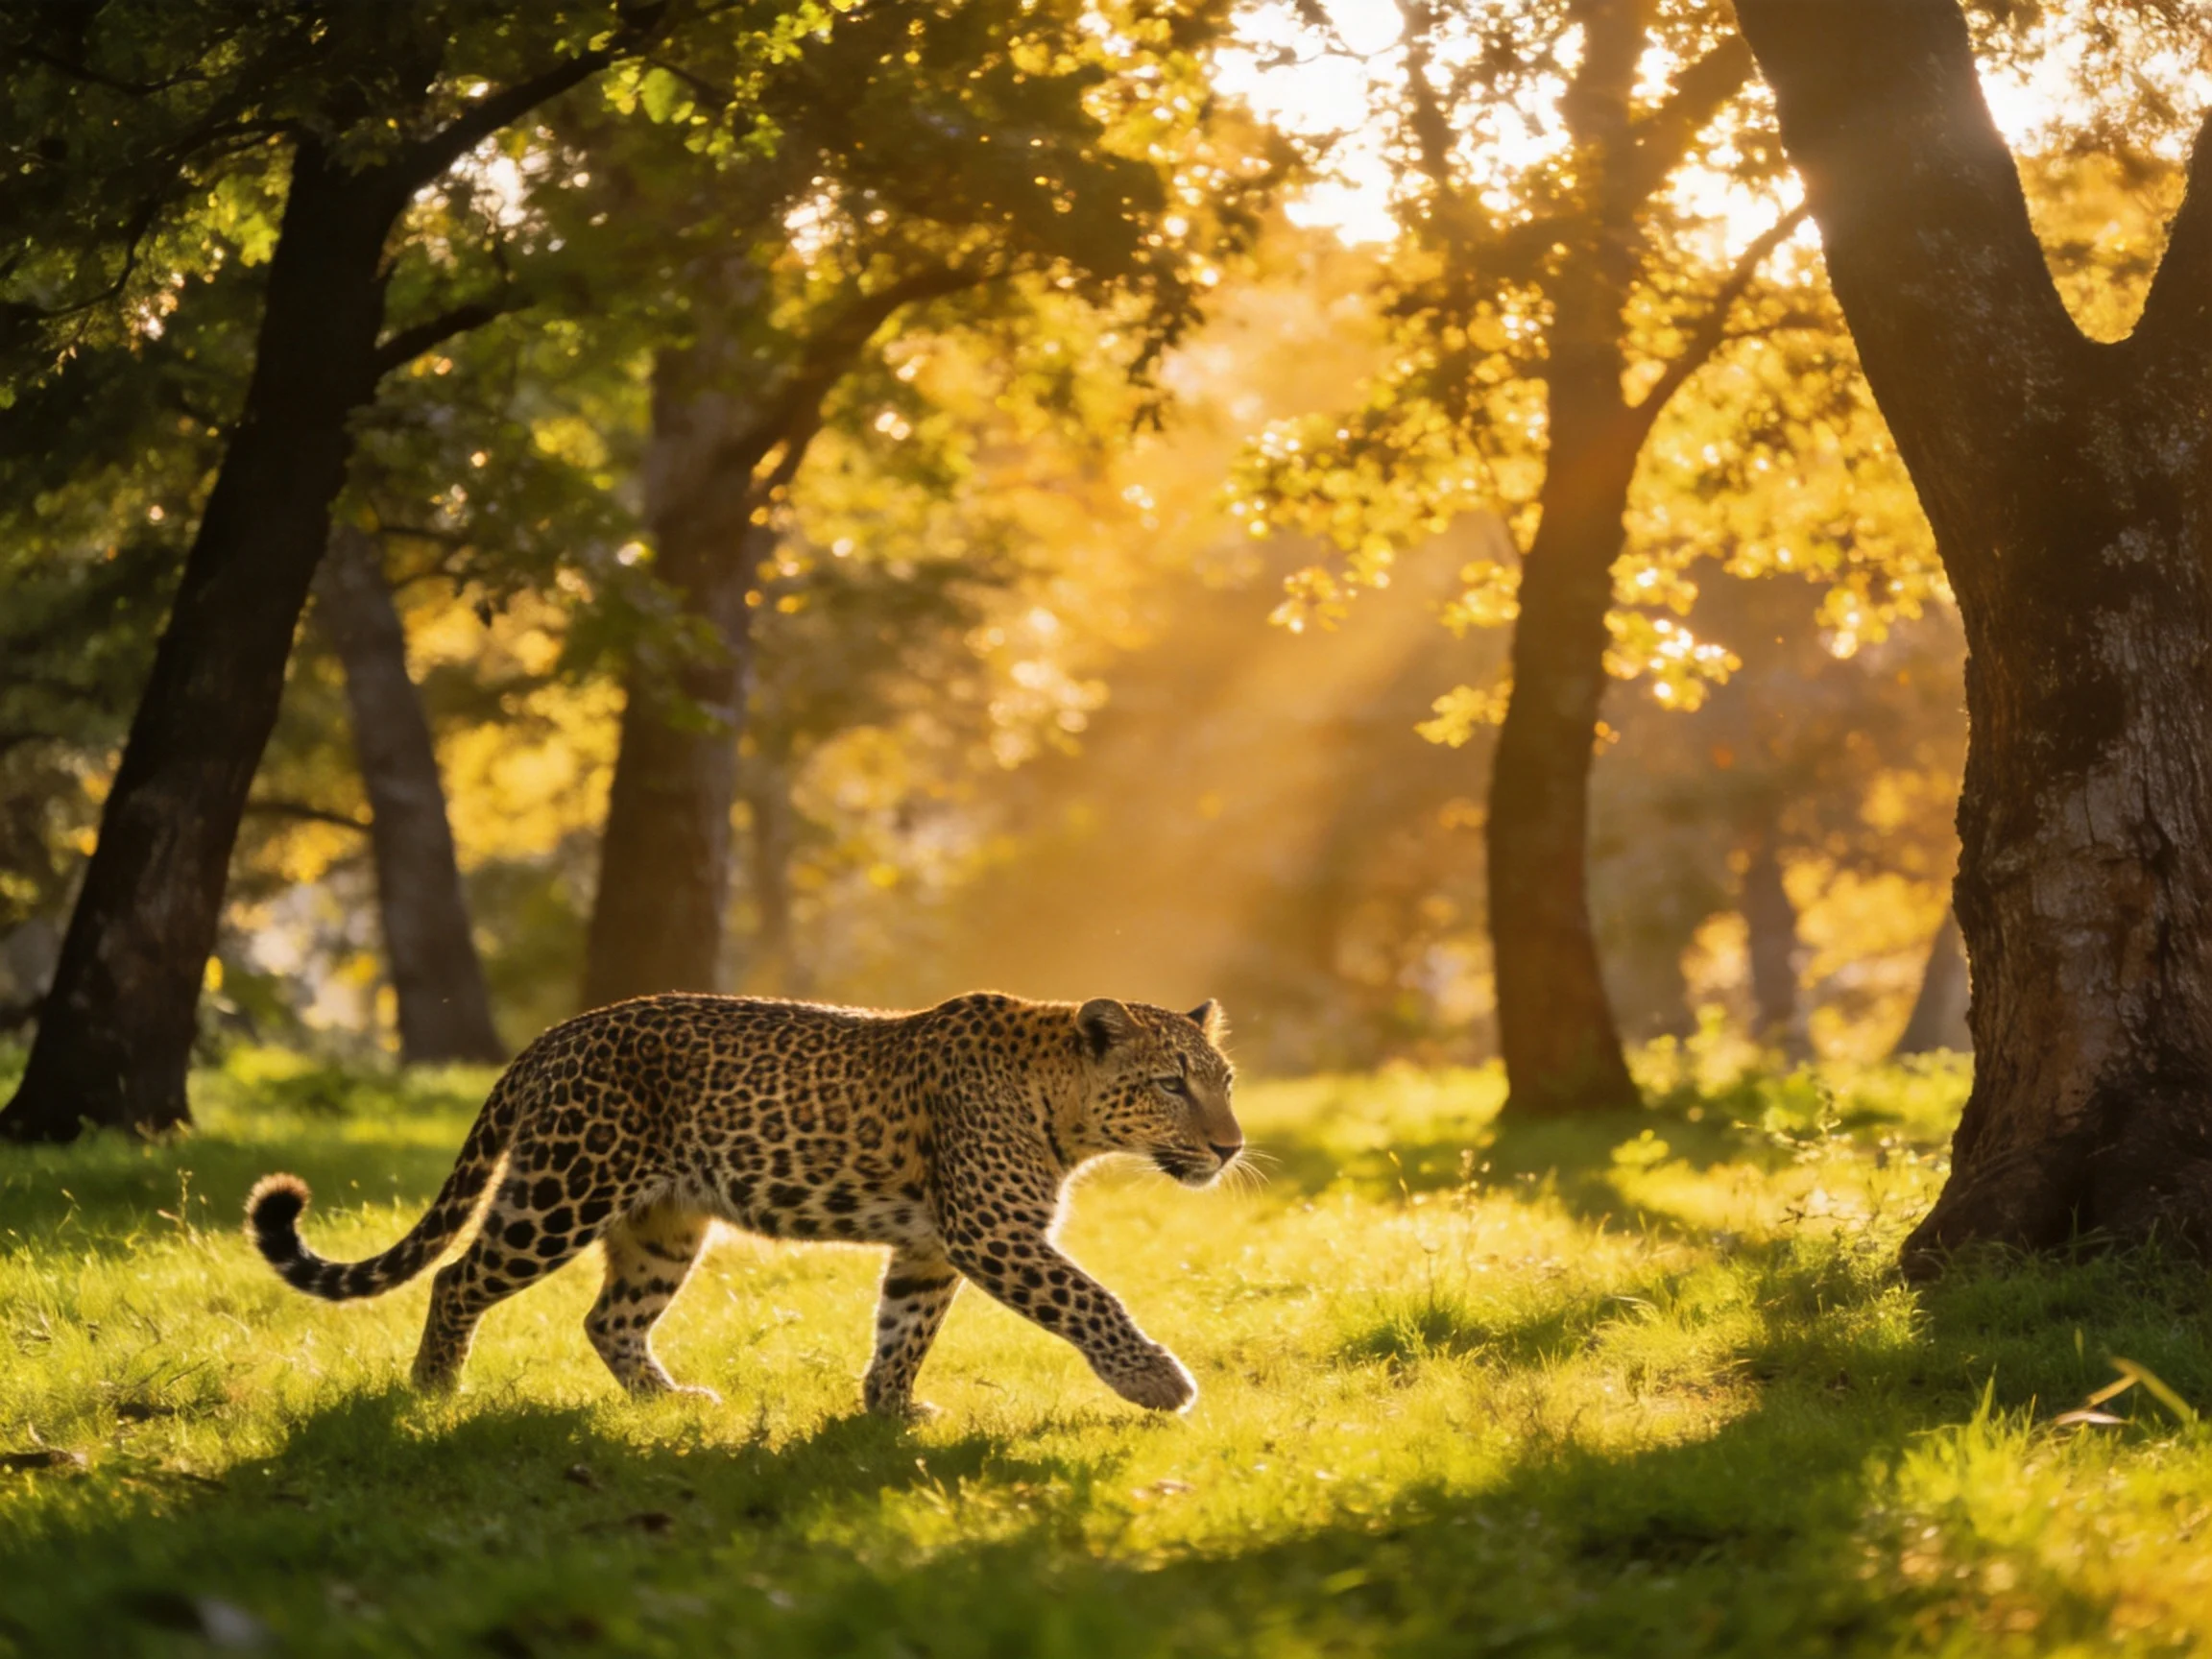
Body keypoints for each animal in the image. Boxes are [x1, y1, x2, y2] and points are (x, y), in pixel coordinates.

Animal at [245, 991, 1243, 1418]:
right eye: (1170, 1085)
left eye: (1225, 1082)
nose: (1230, 1146)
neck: (1063, 1106)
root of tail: (553, 1034)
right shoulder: (991, 1232)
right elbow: (1091, 1300)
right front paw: (1161, 1383)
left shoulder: (931, 1246)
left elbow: (906, 1327)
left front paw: (888, 1410)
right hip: (564, 1188)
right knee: (457, 1279)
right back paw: (434, 1392)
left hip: (663, 1223)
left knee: (609, 1318)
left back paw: (668, 1402)